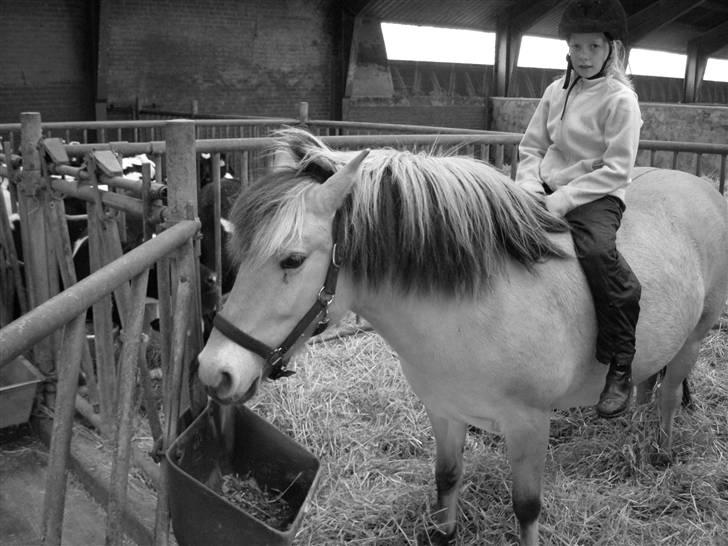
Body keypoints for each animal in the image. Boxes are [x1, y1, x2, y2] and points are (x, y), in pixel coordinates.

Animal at [196, 129, 728, 546]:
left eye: (291, 260)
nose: (213, 370)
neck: (477, 308)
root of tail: (704, 186)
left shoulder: (529, 424)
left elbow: (527, 507)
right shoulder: (445, 411)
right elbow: (447, 478)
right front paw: (445, 532)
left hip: (696, 336)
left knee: (669, 395)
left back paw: (660, 450)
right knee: (646, 379)